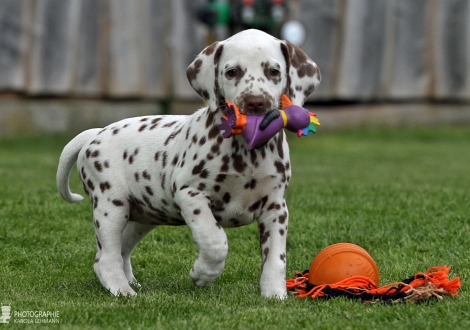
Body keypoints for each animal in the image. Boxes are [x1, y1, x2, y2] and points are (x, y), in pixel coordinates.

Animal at [56, 29, 320, 300]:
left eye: (274, 71)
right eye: (232, 71)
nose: (255, 102)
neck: (246, 152)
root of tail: (96, 133)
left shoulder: (275, 208)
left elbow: (275, 258)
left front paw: (274, 294)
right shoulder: (191, 195)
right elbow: (215, 240)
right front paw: (203, 274)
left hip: (142, 216)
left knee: (122, 250)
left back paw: (130, 282)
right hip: (111, 207)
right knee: (106, 257)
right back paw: (122, 289)